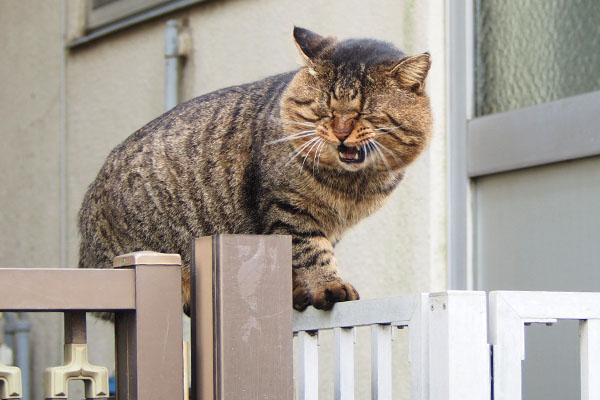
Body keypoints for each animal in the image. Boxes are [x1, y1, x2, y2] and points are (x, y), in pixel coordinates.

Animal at [78, 26, 432, 314]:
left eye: (364, 114)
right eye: (324, 111)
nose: (341, 132)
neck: (351, 187)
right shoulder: (289, 208)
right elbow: (312, 252)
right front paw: (328, 286)